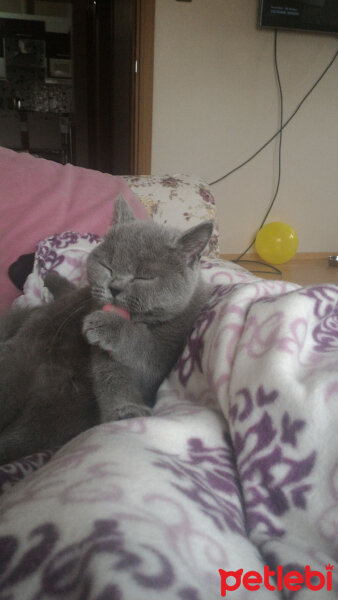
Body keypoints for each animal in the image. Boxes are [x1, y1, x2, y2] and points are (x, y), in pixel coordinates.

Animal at [0, 199, 211, 466]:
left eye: (144, 277)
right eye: (107, 266)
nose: (114, 287)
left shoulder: (167, 355)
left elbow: (143, 351)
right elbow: (112, 375)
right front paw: (126, 413)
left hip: (59, 411)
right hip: (23, 356)